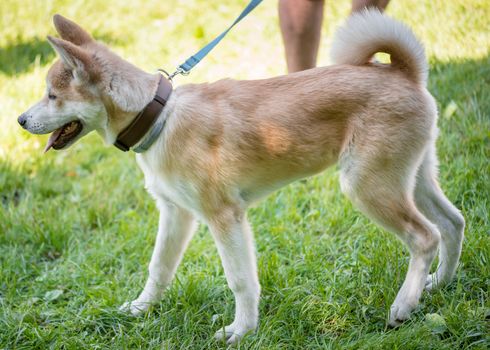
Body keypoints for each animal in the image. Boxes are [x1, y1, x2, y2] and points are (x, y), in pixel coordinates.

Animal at [19, 8, 464, 344]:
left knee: (425, 237)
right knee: (452, 223)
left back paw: (403, 306)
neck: (159, 117)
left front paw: (242, 330)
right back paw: (438, 285)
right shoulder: (176, 214)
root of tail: (404, 72)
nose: (21, 120)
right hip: (412, 179)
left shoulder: (224, 217)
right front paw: (140, 309)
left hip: (368, 186)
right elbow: (159, 268)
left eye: (52, 96)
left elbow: (240, 280)